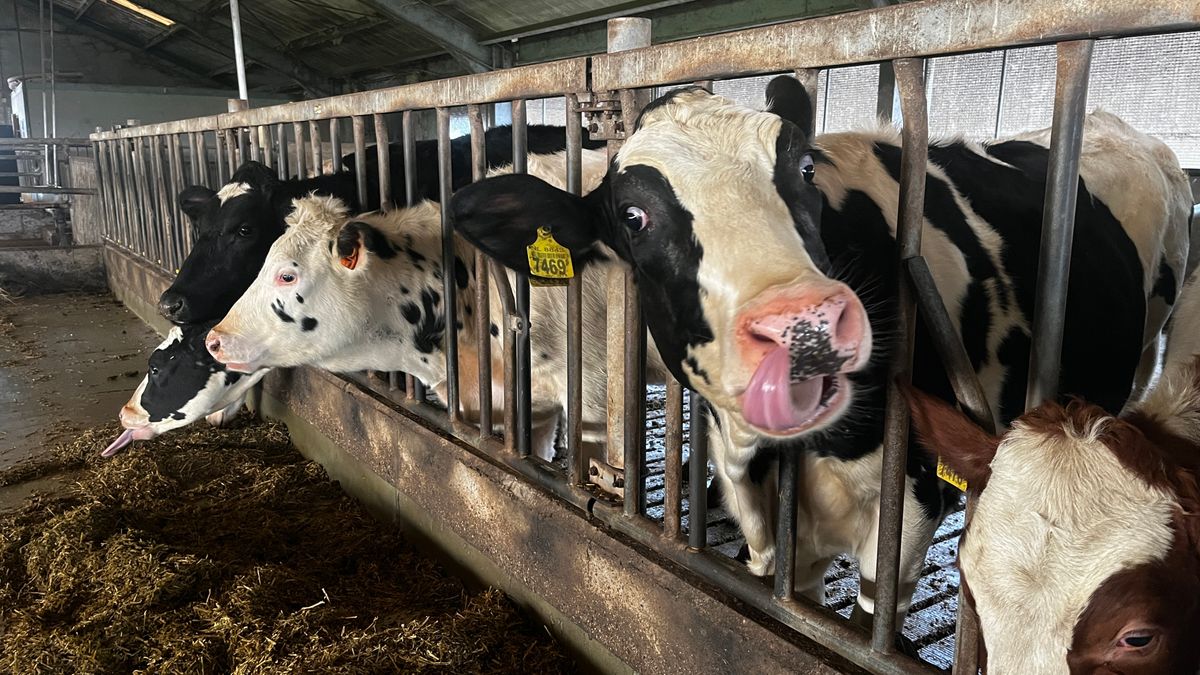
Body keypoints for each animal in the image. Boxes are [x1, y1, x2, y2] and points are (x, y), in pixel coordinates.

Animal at [446, 76, 1192, 633]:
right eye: (633, 217)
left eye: (803, 168)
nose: (804, 327)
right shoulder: (782, 538)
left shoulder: (908, 510)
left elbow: (869, 617)